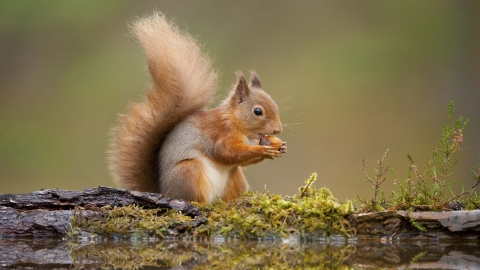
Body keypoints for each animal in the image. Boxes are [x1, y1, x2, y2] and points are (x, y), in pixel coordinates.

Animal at [109, 13, 284, 202]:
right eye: (257, 111)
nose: (278, 130)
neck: (237, 123)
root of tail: (165, 191)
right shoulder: (219, 133)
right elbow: (227, 152)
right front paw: (263, 150)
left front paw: (280, 146)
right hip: (189, 172)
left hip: (234, 177)